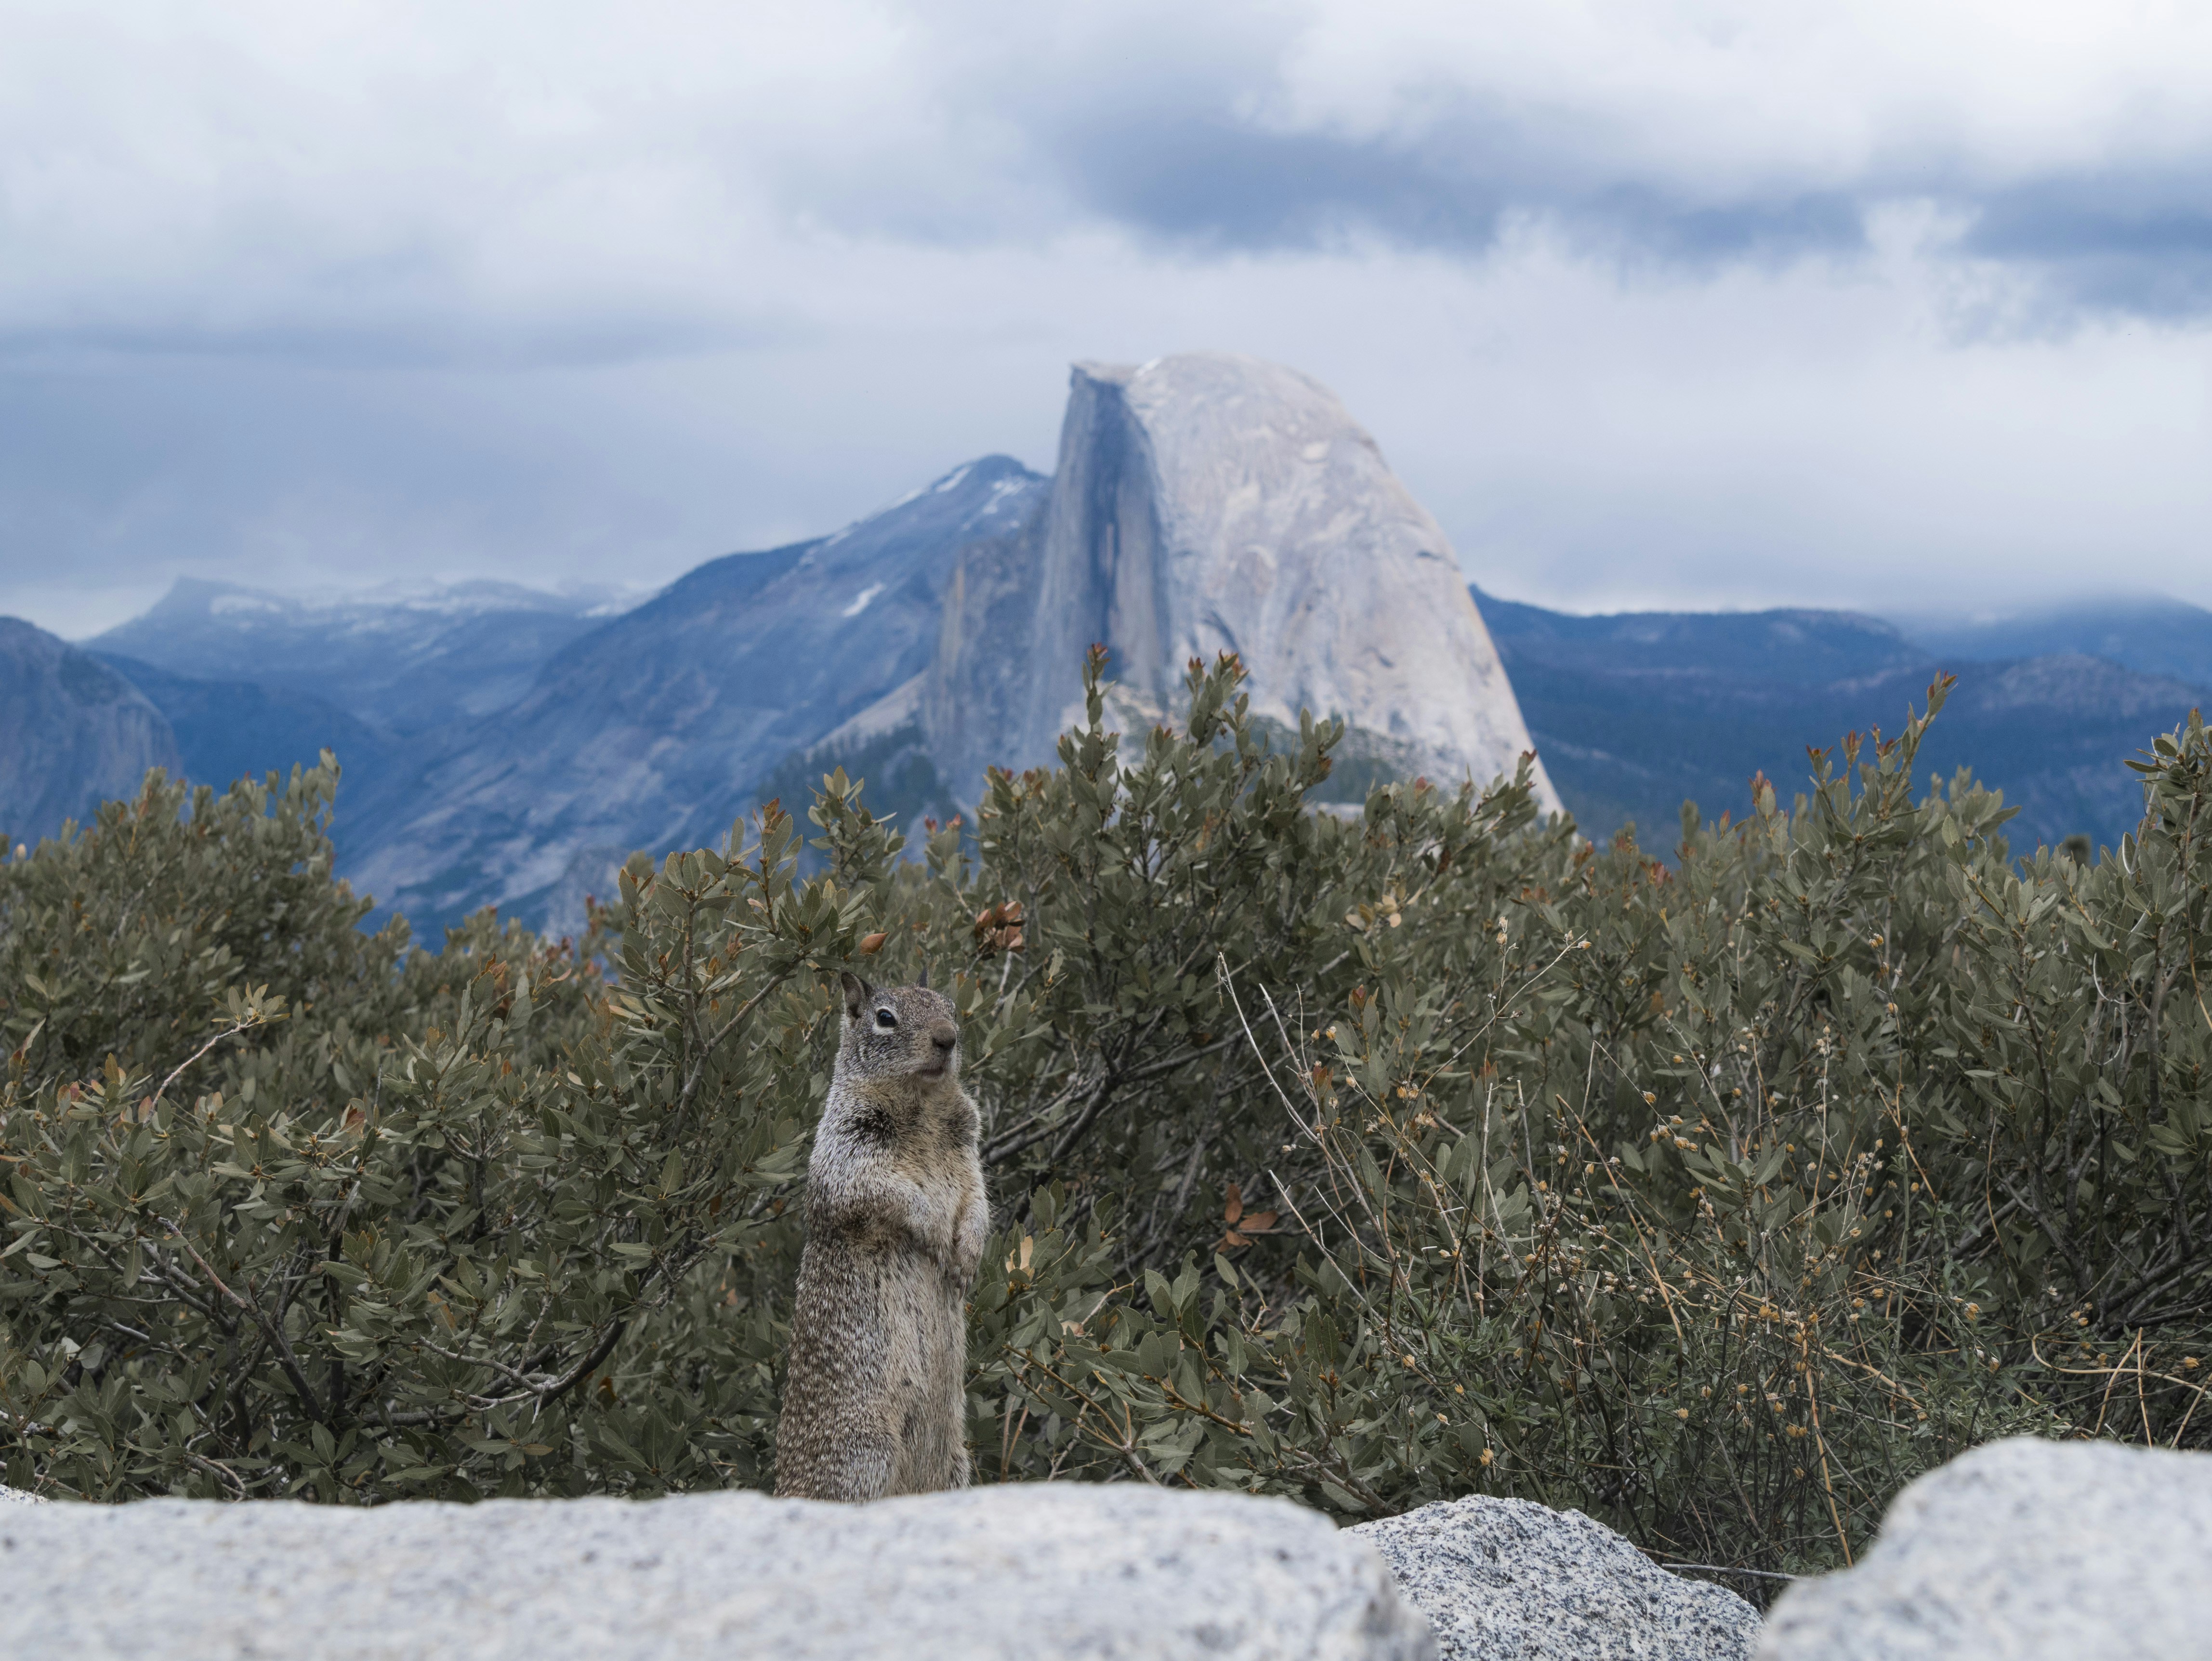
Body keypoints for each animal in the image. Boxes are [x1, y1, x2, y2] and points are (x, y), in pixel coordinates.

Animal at [774, 970, 988, 1501]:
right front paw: (934, 1231)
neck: (923, 1105)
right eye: (885, 1018)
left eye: (950, 1008)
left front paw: (968, 1256)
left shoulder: (970, 1151)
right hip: (865, 1453)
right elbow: (890, 1195)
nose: (947, 1038)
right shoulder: (847, 1155)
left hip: (954, 1464)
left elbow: (978, 1203)